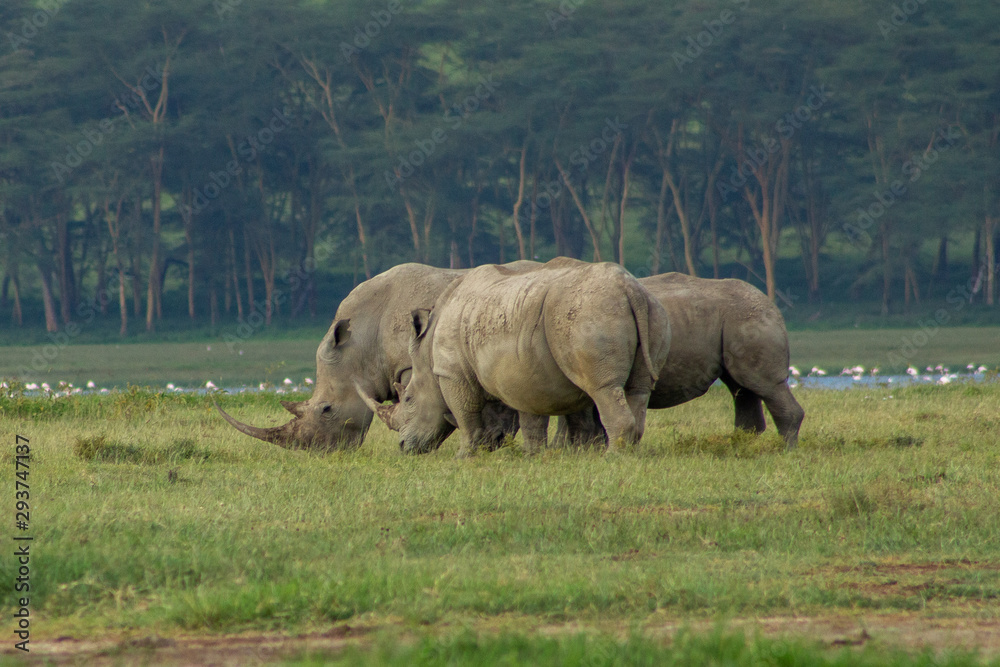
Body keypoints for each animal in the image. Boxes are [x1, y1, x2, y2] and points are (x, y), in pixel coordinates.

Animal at [358, 258, 670, 456]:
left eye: (409, 400)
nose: (402, 448)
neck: (426, 355)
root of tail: (628, 288)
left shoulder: (452, 374)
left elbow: (465, 414)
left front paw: (465, 455)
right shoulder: (523, 373)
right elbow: (530, 416)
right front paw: (532, 455)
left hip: (589, 313)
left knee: (603, 388)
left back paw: (613, 457)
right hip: (649, 309)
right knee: (638, 388)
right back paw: (631, 450)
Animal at [557, 272, 805, 449]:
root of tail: (772, 305)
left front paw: (574, 451)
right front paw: (570, 451)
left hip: (750, 320)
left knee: (764, 385)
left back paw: (784, 451)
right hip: (740, 321)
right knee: (742, 388)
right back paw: (740, 448)